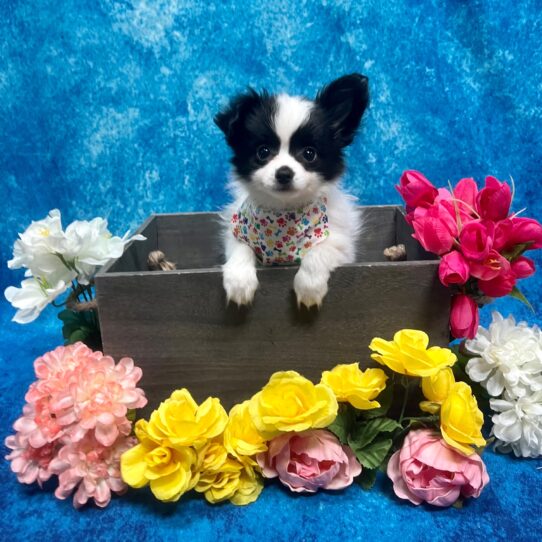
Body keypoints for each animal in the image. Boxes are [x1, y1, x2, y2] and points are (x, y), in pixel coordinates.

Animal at [215, 74, 372, 308]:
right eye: (263, 152)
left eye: (309, 154)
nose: (284, 173)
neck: (282, 216)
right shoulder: (237, 231)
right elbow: (240, 248)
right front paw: (239, 281)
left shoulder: (341, 245)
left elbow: (319, 251)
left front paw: (309, 287)